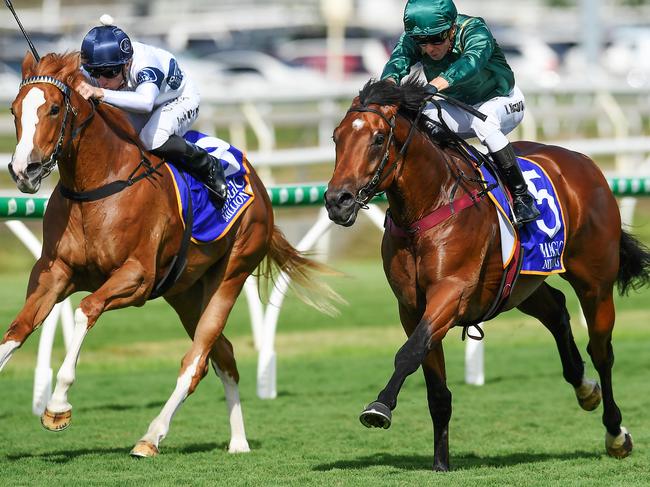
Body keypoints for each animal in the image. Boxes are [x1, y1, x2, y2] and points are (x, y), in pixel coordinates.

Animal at [0, 52, 334, 458]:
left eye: (52, 108)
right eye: (14, 110)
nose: (23, 169)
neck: (97, 186)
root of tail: (256, 180)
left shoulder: (137, 278)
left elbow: (85, 309)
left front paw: (58, 406)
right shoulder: (54, 273)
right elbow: (18, 329)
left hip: (231, 273)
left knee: (196, 363)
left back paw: (151, 436)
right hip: (185, 293)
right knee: (223, 355)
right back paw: (238, 441)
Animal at [326, 78, 648, 470]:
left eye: (377, 138)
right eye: (336, 137)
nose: (337, 200)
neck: (430, 205)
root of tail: (585, 163)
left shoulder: (452, 292)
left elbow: (409, 351)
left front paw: (379, 407)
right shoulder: (411, 307)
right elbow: (434, 384)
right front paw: (441, 463)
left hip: (594, 283)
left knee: (601, 350)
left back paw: (616, 434)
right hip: (521, 283)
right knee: (556, 309)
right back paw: (585, 388)